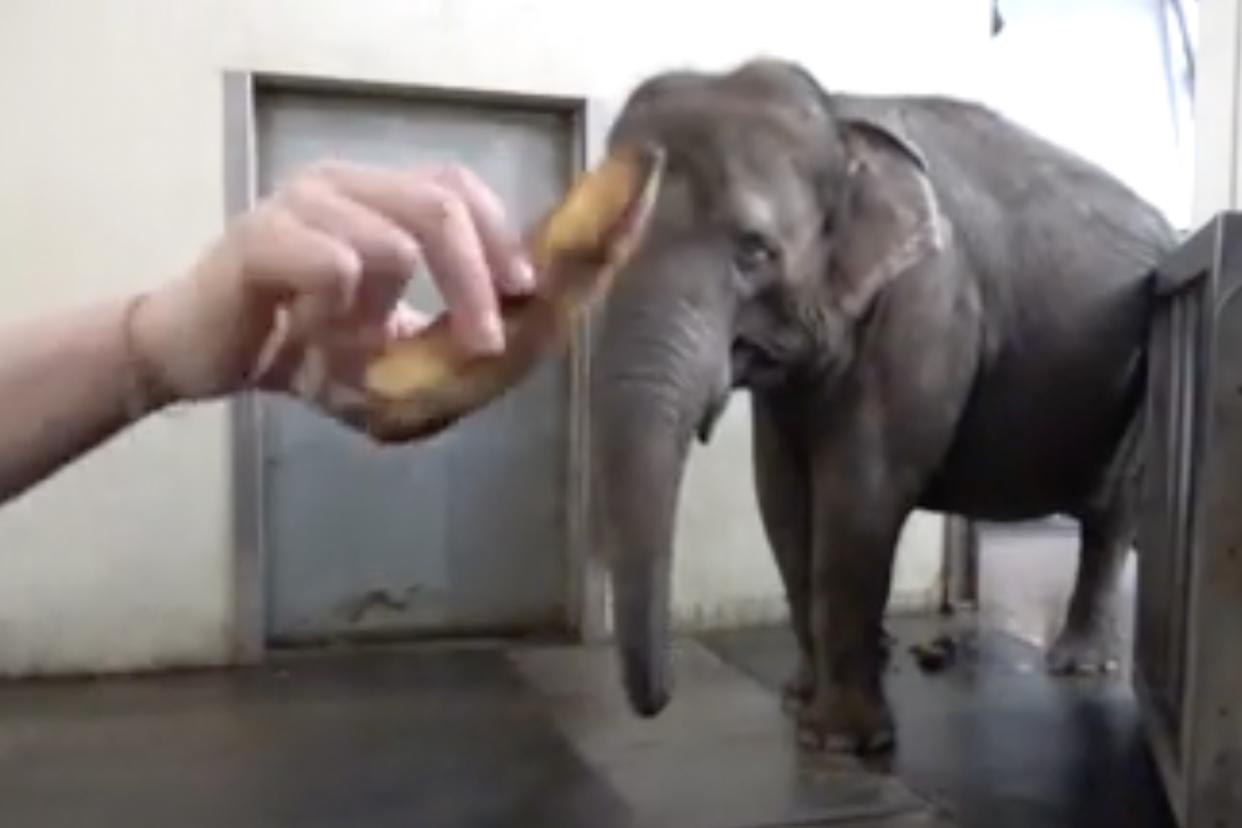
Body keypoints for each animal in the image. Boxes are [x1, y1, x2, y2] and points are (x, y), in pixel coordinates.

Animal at [586, 58, 1177, 754]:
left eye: (755, 249)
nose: (658, 701)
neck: (839, 120)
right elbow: (782, 497)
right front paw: (798, 702)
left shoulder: (926, 306)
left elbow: (860, 494)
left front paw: (841, 741)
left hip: (1141, 373)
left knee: (1112, 515)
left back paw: (1079, 665)